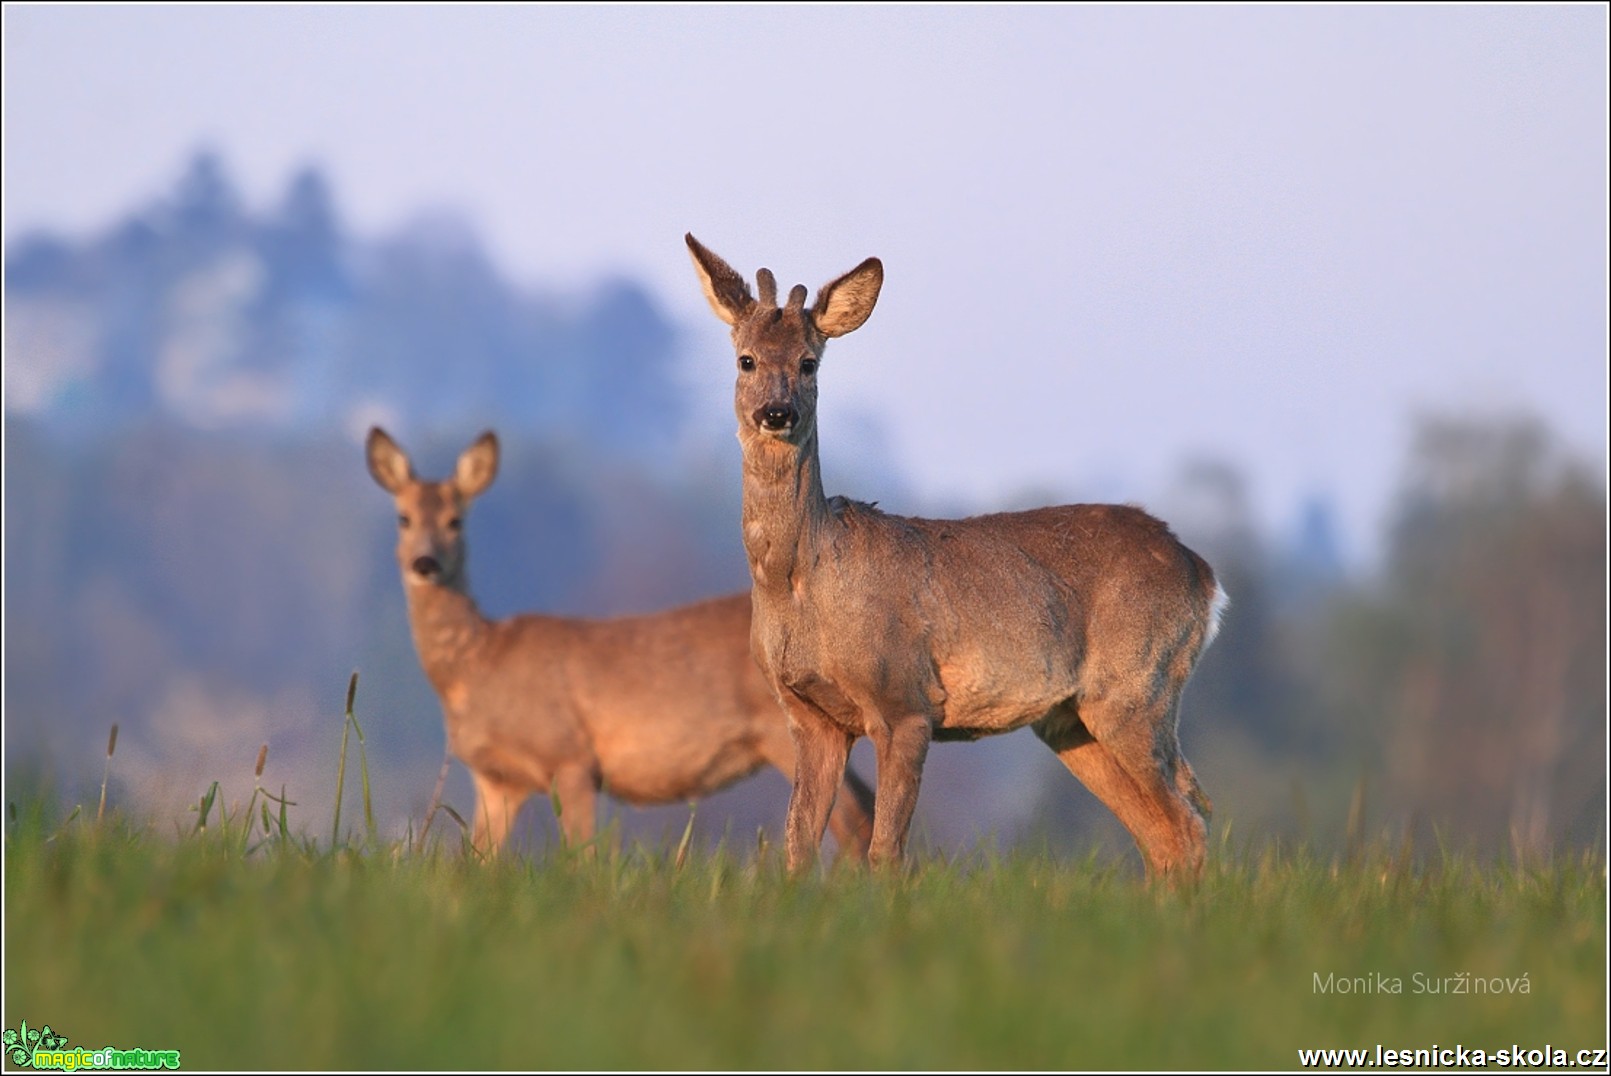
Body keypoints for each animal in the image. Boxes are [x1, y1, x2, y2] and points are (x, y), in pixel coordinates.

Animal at [364, 425, 876, 856]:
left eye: (456, 521)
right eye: (403, 518)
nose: (425, 563)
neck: (477, 664)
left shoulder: (569, 756)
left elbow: (584, 855)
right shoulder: (496, 779)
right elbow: (477, 860)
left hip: (782, 727)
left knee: (854, 819)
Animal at [686, 231, 1224, 876]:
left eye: (809, 362)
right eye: (746, 359)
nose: (776, 412)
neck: (801, 582)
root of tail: (1205, 576)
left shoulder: (904, 700)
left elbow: (885, 850)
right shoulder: (809, 717)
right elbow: (797, 845)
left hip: (1136, 688)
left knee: (1188, 825)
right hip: (1073, 721)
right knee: (1162, 837)